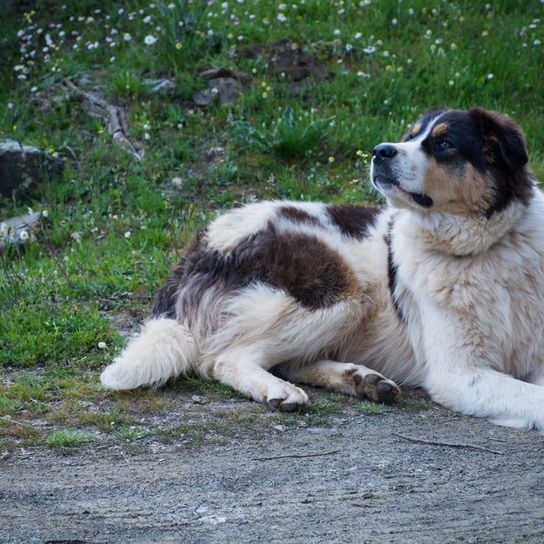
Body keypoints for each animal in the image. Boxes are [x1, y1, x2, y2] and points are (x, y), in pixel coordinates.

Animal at [100, 106, 544, 430]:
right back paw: (279, 391)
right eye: (410, 136)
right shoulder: (459, 372)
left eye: (445, 143)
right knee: (223, 358)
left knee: (286, 360)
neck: (486, 249)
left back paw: (361, 380)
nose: (380, 151)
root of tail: (201, 242)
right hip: (342, 293)